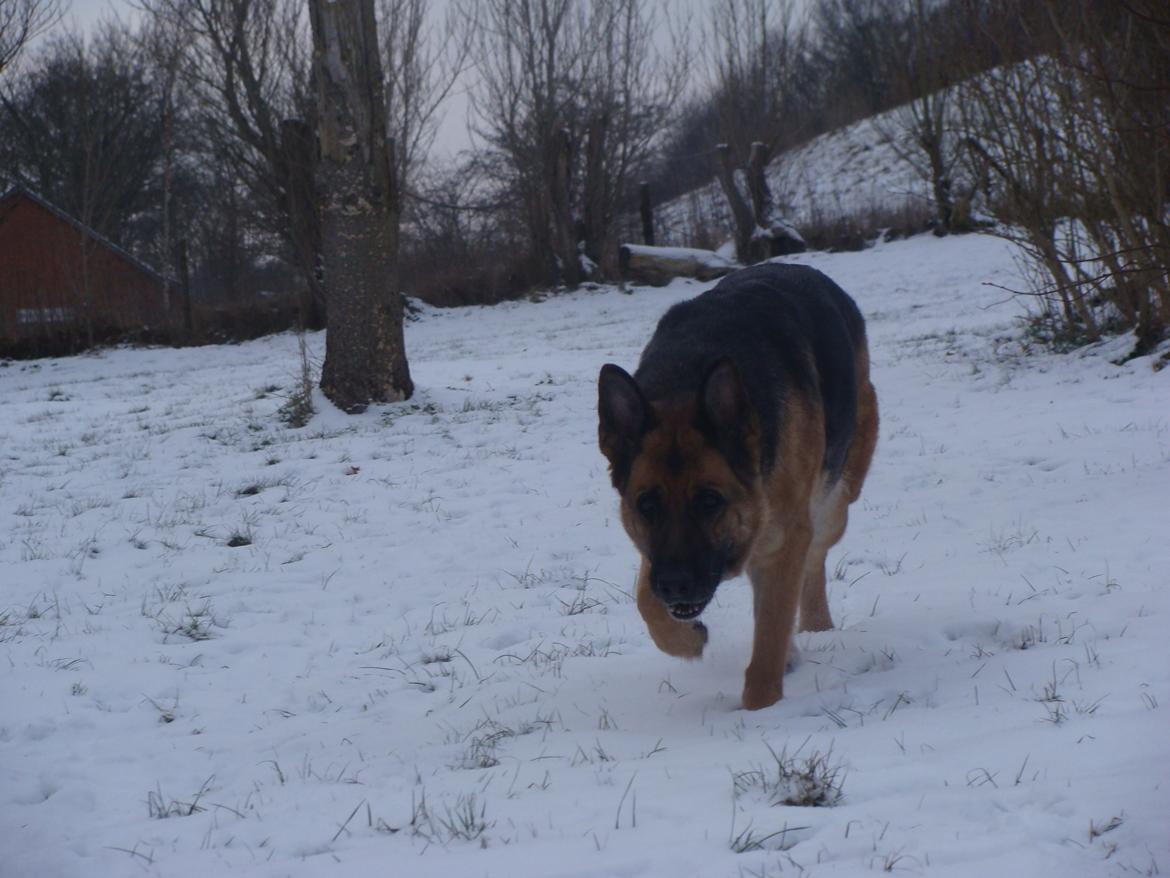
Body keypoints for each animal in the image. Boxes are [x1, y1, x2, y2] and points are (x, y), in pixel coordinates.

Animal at [594, 264, 879, 711]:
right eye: (647, 505)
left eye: (710, 501)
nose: (675, 585)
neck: (685, 383)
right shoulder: (655, 554)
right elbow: (645, 601)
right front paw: (686, 640)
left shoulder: (783, 542)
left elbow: (768, 644)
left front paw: (761, 709)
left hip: (835, 500)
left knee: (814, 558)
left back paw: (816, 626)